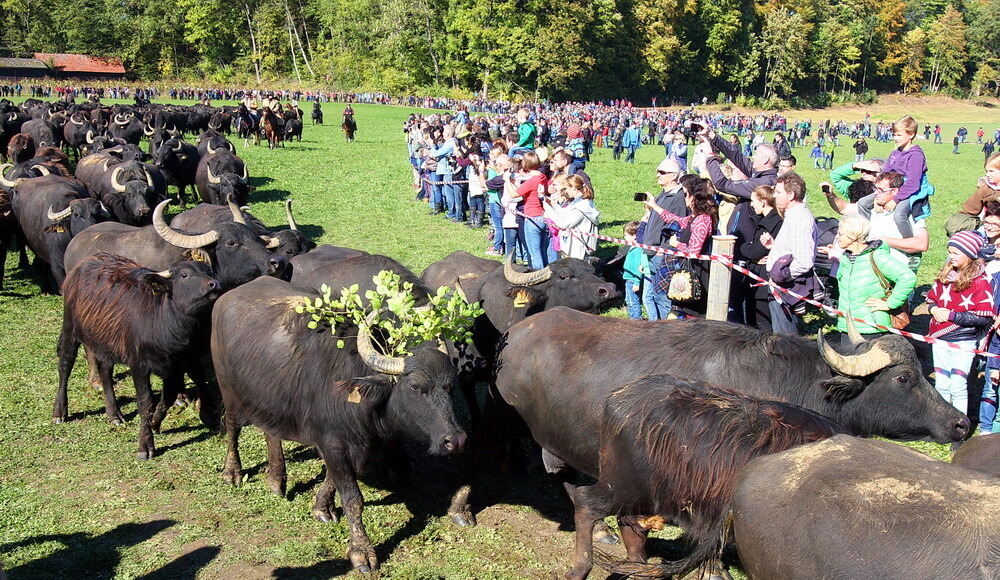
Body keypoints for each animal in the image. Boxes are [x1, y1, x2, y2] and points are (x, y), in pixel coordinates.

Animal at [54, 254, 221, 458]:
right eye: (184, 275)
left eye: (208, 271)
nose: (214, 284)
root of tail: (83, 263)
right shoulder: (139, 366)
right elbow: (145, 403)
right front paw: (145, 445)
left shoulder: (175, 367)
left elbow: (168, 398)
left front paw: (155, 423)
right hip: (70, 327)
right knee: (65, 364)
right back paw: (59, 412)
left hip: (106, 342)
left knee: (105, 372)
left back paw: (114, 414)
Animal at [212, 276, 468, 572]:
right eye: (415, 387)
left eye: (451, 385)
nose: (455, 440)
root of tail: (227, 297)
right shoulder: (333, 442)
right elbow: (352, 497)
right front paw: (361, 552)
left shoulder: (353, 444)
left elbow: (334, 478)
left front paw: (321, 507)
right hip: (228, 390)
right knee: (232, 428)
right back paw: (232, 472)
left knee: (271, 432)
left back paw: (276, 479)